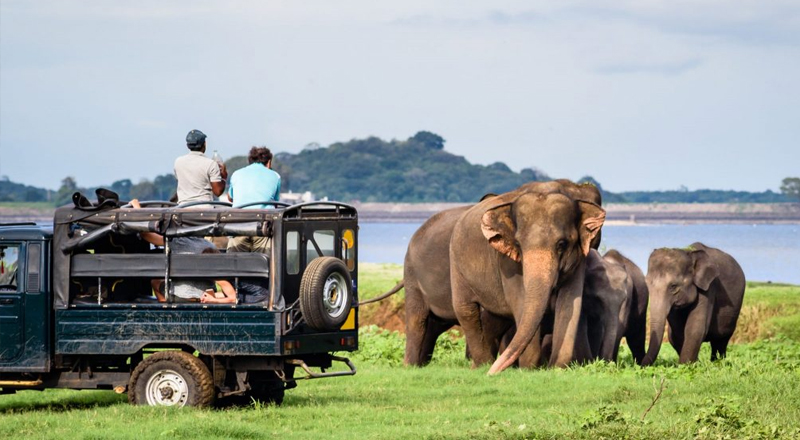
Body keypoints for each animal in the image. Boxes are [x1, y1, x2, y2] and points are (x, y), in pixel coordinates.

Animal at [450, 180, 608, 372]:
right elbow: (520, 300)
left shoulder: (579, 259)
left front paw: (557, 368)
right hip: (456, 265)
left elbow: (570, 302)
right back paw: (483, 365)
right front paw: (528, 369)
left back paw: (481, 366)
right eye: (518, 244)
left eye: (562, 244)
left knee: (493, 319)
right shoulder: (507, 262)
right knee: (466, 310)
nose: (493, 373)